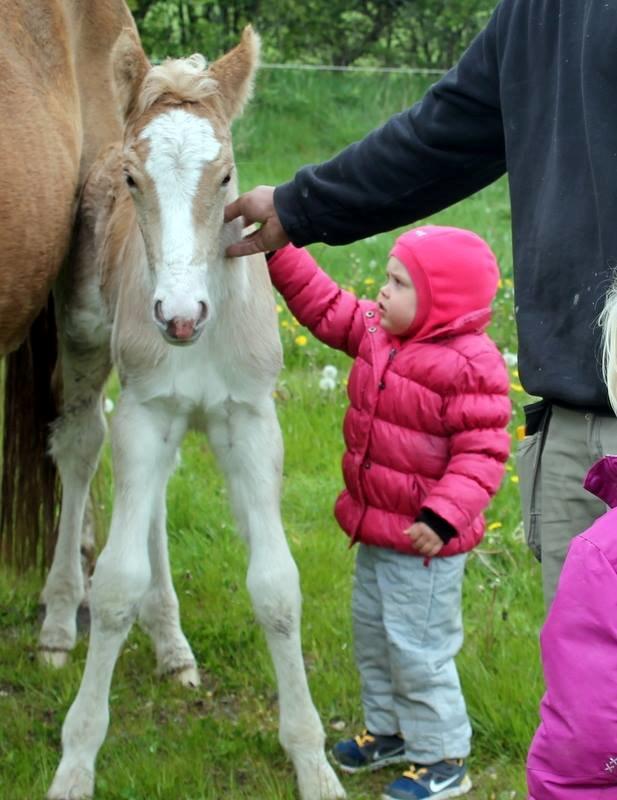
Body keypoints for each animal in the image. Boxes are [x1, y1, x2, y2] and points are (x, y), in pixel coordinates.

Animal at [45, 25, 346, 800]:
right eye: (133, 180)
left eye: (227, 176)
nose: (179, 318)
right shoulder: (145, 410)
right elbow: (115, 584)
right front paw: (76, 760)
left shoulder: (251, 421)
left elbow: (276, 587)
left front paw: (312, 761)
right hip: (87, 347)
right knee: (80, 448)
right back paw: (57, 624)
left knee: (150, 497)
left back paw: (173, 645)